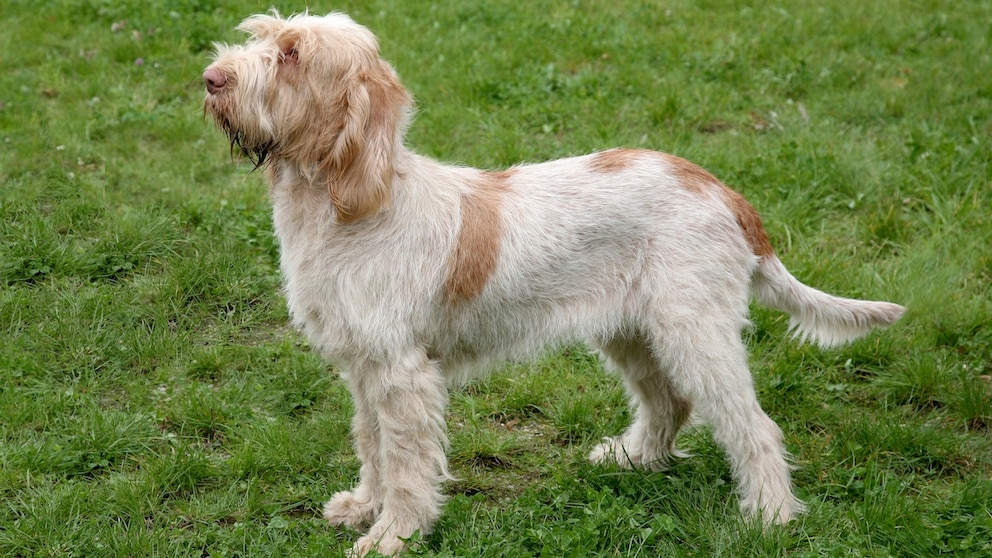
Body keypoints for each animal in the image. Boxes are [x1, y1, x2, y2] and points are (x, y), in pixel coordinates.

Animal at [203, 10, 908, 556]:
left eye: (291, 55)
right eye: (263, 37)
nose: (211, 79)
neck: (347, 206)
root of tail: (721, 189)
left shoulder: (401, 374)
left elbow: (406, 466)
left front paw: (392, 536)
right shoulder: (363, 367)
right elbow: (372, 445)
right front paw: (362, 506)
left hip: (696, 334)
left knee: (753, 428)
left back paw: (770, 517)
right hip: (631, 332)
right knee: (668, 403)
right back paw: (633, 458)